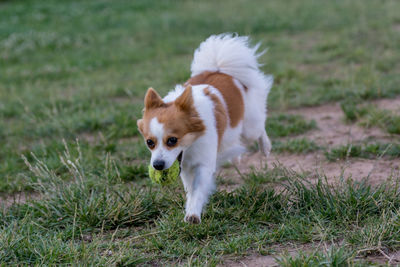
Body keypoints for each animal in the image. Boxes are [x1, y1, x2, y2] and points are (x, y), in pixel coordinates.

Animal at [137, 34, 272, 225]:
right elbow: (190, 189)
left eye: (172, 140)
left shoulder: (203, 164)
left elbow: (198, 190)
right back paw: (236, 157)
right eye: (150, 142)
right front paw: (190, 207)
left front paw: (193, 214)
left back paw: (265, 147)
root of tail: (220, 70)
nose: (157, 165)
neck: (190, 146)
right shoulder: (185, 167)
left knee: (259, 129)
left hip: (250, 127)